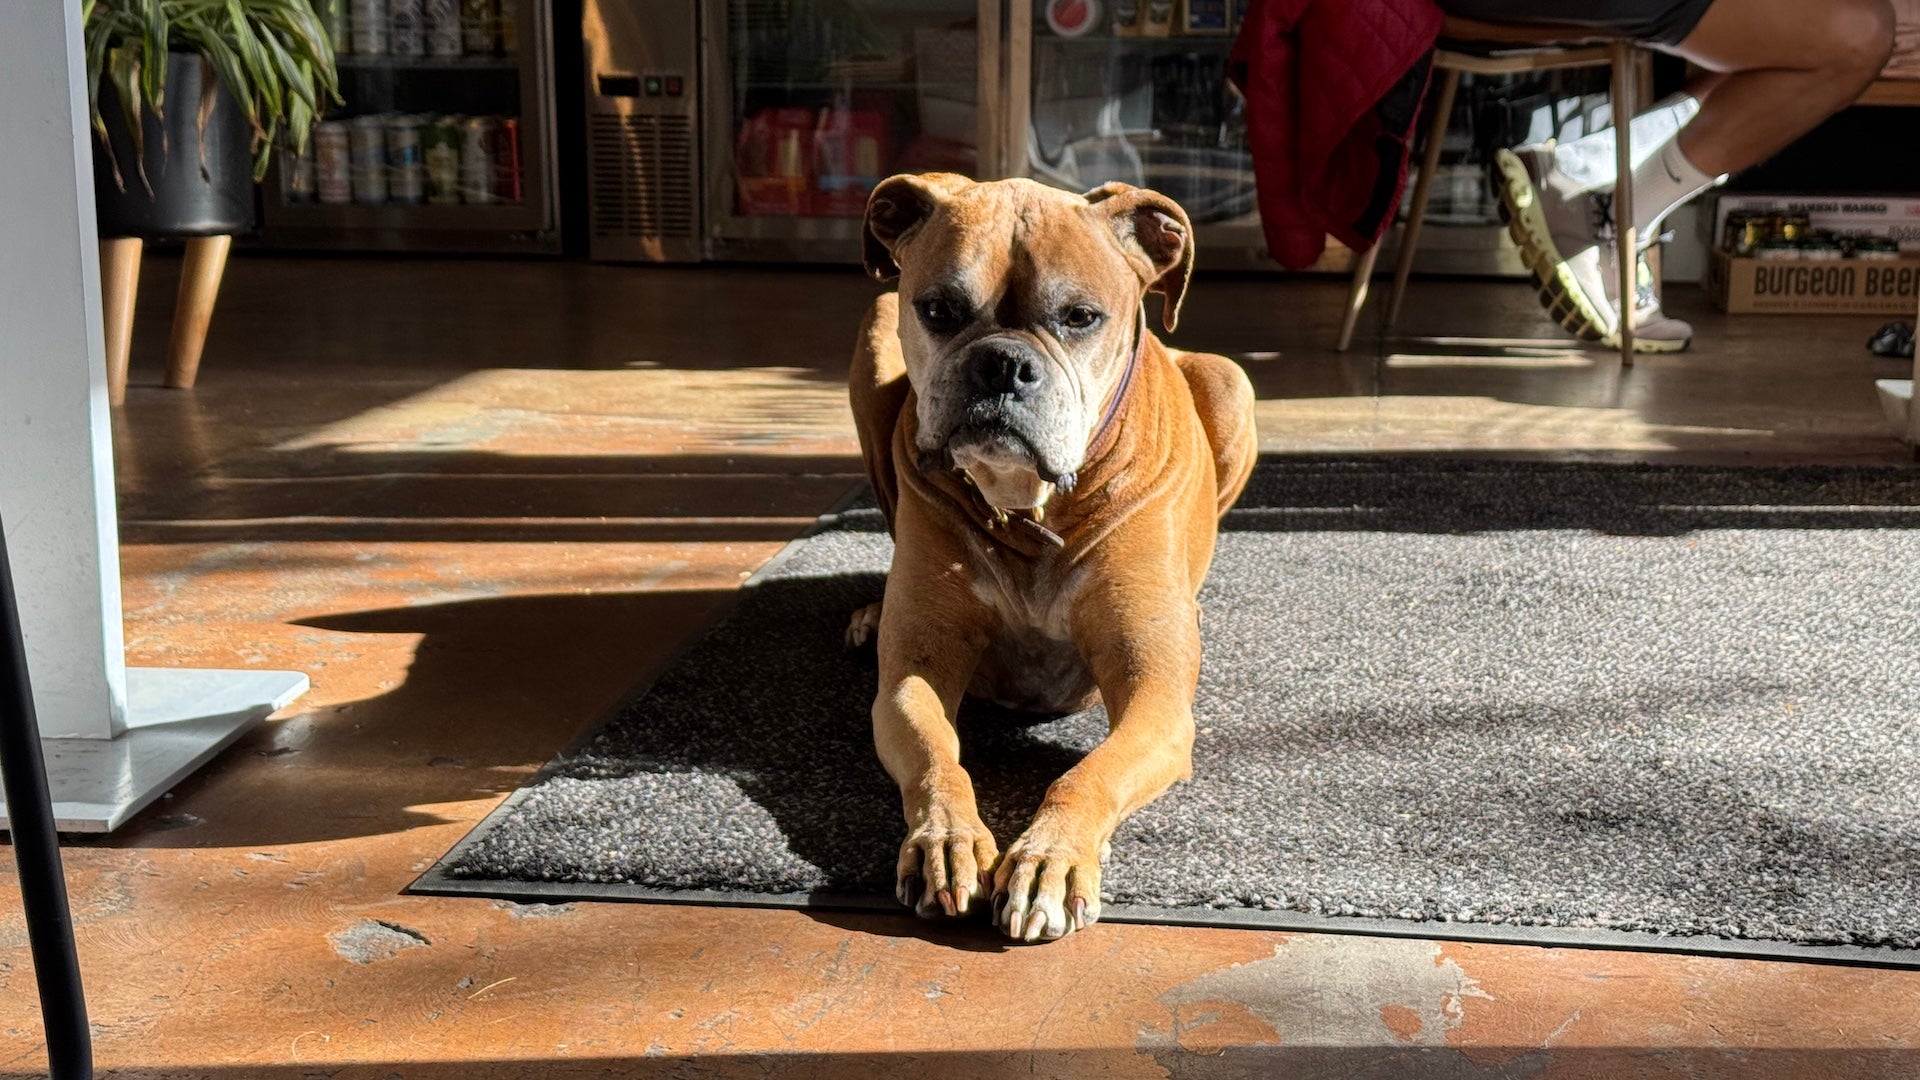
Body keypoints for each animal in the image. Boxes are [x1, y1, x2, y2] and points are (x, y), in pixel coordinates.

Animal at [848, 171, 1251, 937]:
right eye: (939, 309)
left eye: (1080, 317)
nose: (1002, 363)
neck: (1029, 507)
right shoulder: (911, 680)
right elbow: (937, 759)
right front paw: (946, 841)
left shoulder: (1154, 698)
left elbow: (1088, 774)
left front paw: (1049, 860)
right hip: (872, 335)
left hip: (1230, 381)